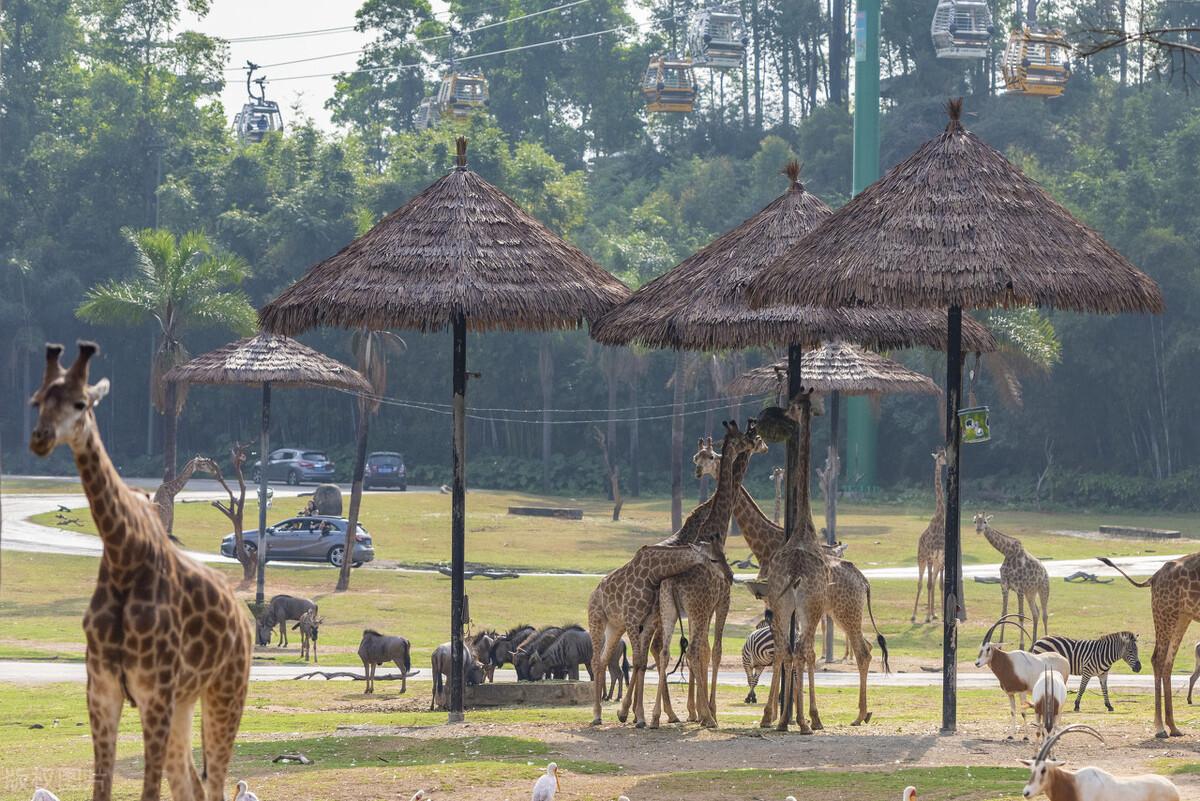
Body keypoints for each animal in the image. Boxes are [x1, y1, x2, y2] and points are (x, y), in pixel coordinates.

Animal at [29, 340, 253, 801]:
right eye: (38, 400)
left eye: (81, 403)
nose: (41, 439)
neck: (122, 557)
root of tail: (245, 621)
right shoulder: (101, 689)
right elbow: (103, 787)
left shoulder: (155, 693)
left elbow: (149, 790)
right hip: (186, 701)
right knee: (191, 783)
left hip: (225, 690)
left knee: (216, 783)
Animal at [974, 513, 1051, 652]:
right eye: (975, 521)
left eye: (985, 521)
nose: (978, 529)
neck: (1007, 552)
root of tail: (1045, 571)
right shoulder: (1005, 586)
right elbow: (1003, 614)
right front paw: (1000, 643)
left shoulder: (1019, 589)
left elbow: (1020, 615)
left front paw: (1021, 646)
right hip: (1030, 593)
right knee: (1035, 613)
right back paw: (1033, 644)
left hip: (1043, 589)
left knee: (1044, 614)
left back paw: (1045, 640)